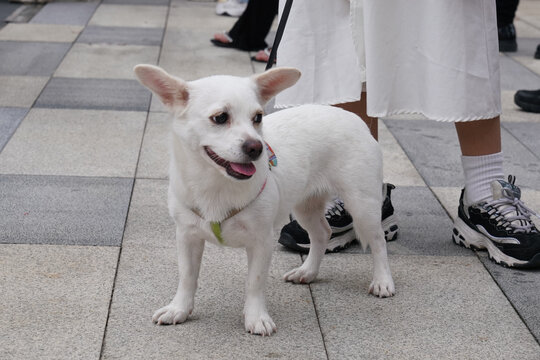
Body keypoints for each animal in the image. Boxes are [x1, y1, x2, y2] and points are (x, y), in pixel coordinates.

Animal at [133, 64, 394, 334]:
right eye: (220, 117)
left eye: (258, 118)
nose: (256, 147)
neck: (216, 183)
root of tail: (355, 118)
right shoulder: (187, 236)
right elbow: (187, 276)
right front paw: (179, 309)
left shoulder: (262, 241)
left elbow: (254, 283)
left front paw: (256, 317)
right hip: (305, 206)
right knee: (322, 233)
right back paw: (307, 271)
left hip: (362, 204)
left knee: (377, 241)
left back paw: (382, 281)